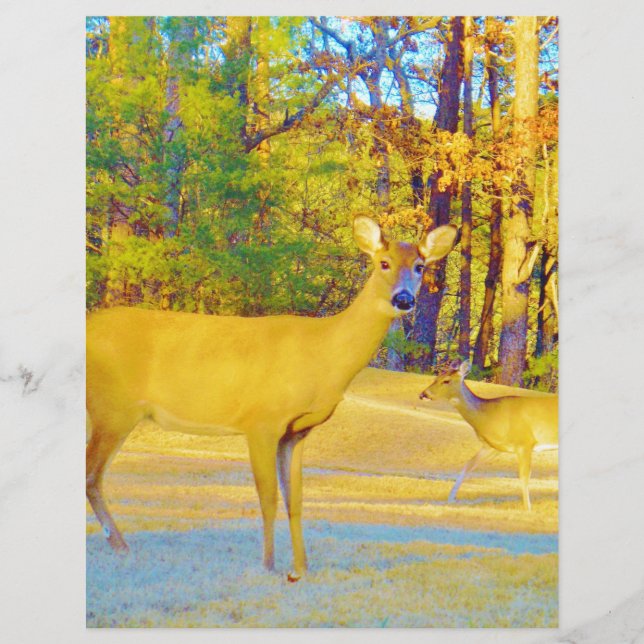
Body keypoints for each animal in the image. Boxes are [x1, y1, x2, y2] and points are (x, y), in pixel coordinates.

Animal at [86, 216, 458, 581]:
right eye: (384, 262)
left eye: (420, 267)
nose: (404, 299)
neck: (324, 355)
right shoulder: (261, 421)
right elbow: (268, 497)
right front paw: (269, 565)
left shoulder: (297, 431)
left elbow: (296, 499)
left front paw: (302, 568)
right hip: (113, 407)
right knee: (92, 475)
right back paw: (121, 545)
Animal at [419, 360, 558, 511]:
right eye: (435, 377)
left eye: (446, 380)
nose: (423, 394)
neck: (490, 416)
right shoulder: (492, 447)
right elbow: (468, 465)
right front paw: (450, 498)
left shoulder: (525, 442)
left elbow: (524, 475)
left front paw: (527, 508)